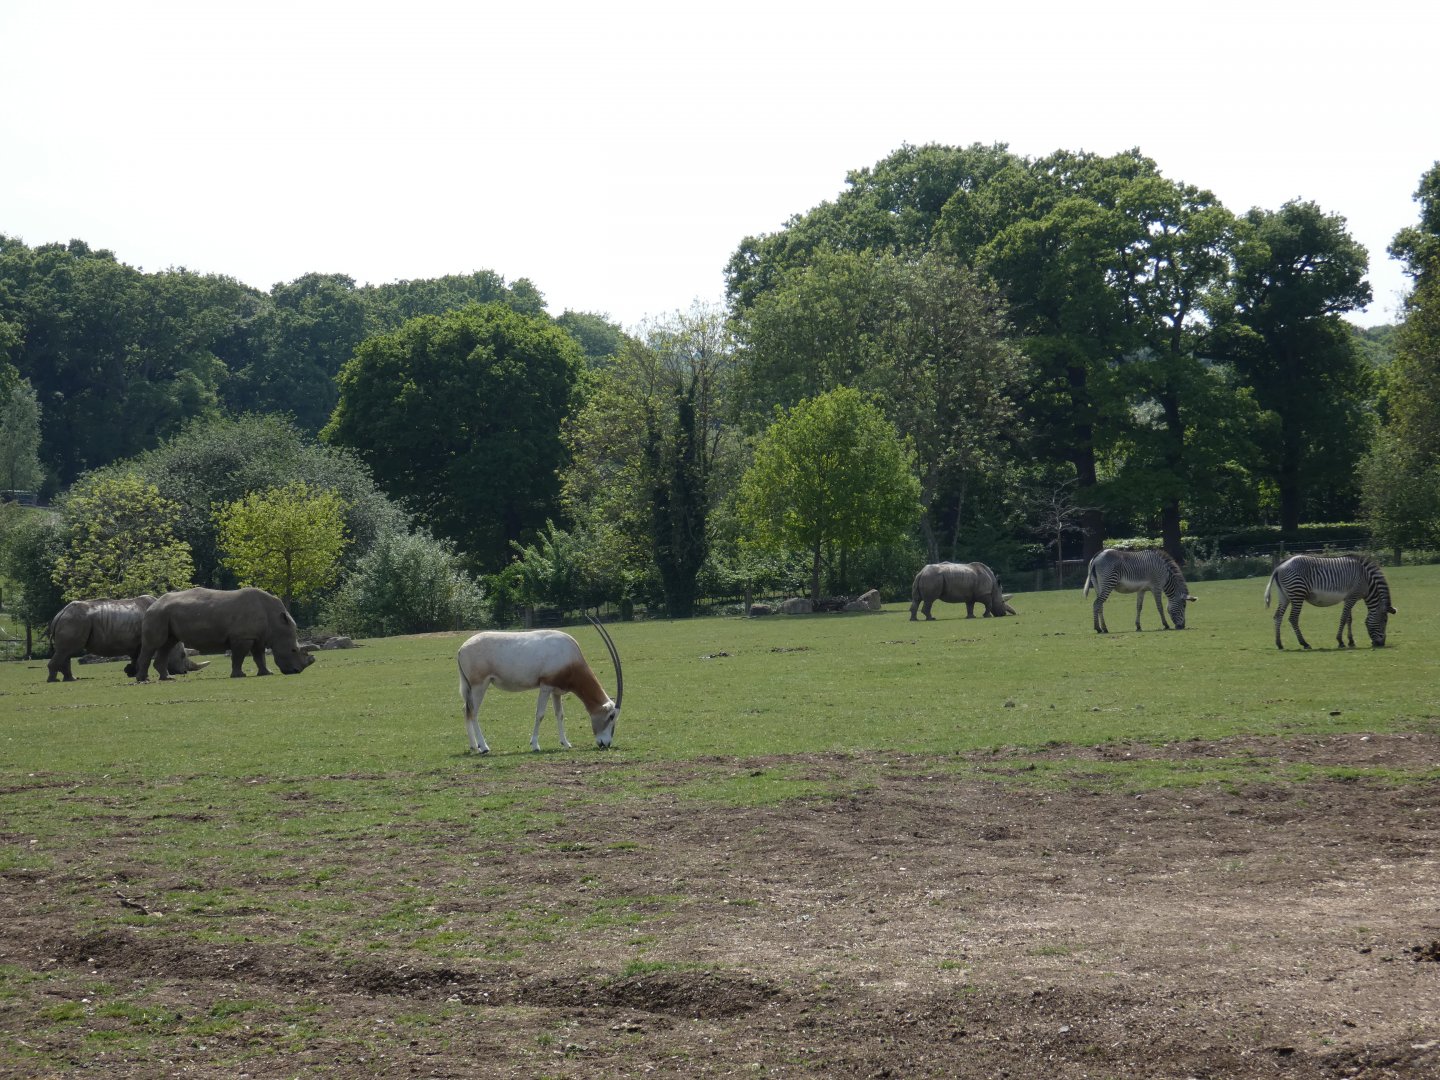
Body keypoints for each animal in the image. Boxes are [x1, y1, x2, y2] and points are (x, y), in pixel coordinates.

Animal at [47, 596, 206, 682]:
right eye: (182, 655)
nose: (184, 672)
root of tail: (60, 613)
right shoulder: (144, 641)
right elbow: (141, 657)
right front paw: (136, 674)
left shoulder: (136, 643)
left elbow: (136, 658)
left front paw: (131, 672)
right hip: (75, 621)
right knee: (67, 650)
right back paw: (54, 680)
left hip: (73, 621)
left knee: (66, 652)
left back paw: (70, 679)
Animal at [135, 586, 316, 682]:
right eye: (293, 650)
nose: (296, 671)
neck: (276, 622)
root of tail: (154, 603)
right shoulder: (243, 637)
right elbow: (239, 657)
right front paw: (239, 676)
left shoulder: (257, 637)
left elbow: (259, 656)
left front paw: (266, 673)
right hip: (157, 614)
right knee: (153, 645)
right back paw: (144, 680)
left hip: (164, 614)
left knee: (167, 644)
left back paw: (167, 678)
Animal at [1265, 554, 1395, 650]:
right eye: (1385, 620)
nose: (1381, 644)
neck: (1367, 581)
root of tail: (1279, 567)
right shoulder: (1352, 597)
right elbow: (1343, 618)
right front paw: (1340, 641)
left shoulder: (1349, 598)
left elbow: (1349, 619)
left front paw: (1351, 641)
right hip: (1297, 593)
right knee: (1293, 618)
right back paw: (1304, 643)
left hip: (1284, 596)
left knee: (1277, 617)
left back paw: (1279, 644)